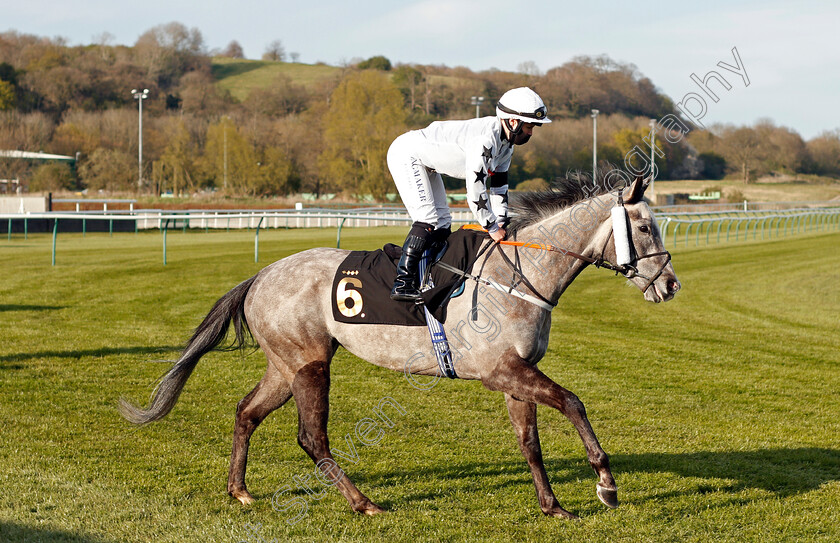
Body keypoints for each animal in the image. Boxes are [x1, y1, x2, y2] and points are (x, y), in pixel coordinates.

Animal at [121, 173, 680, 520]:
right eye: (645, 226)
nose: (672, 285)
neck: (520, 276)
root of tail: (260, 275)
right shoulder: (500, 372)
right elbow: (573, 402)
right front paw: (605, 483)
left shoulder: (515, 376)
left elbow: (530, 443)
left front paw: (553, 505)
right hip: (310, 364)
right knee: (312, 438)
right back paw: (362, 502)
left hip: (285, 365)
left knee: (246, 412)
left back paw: (239, 489)